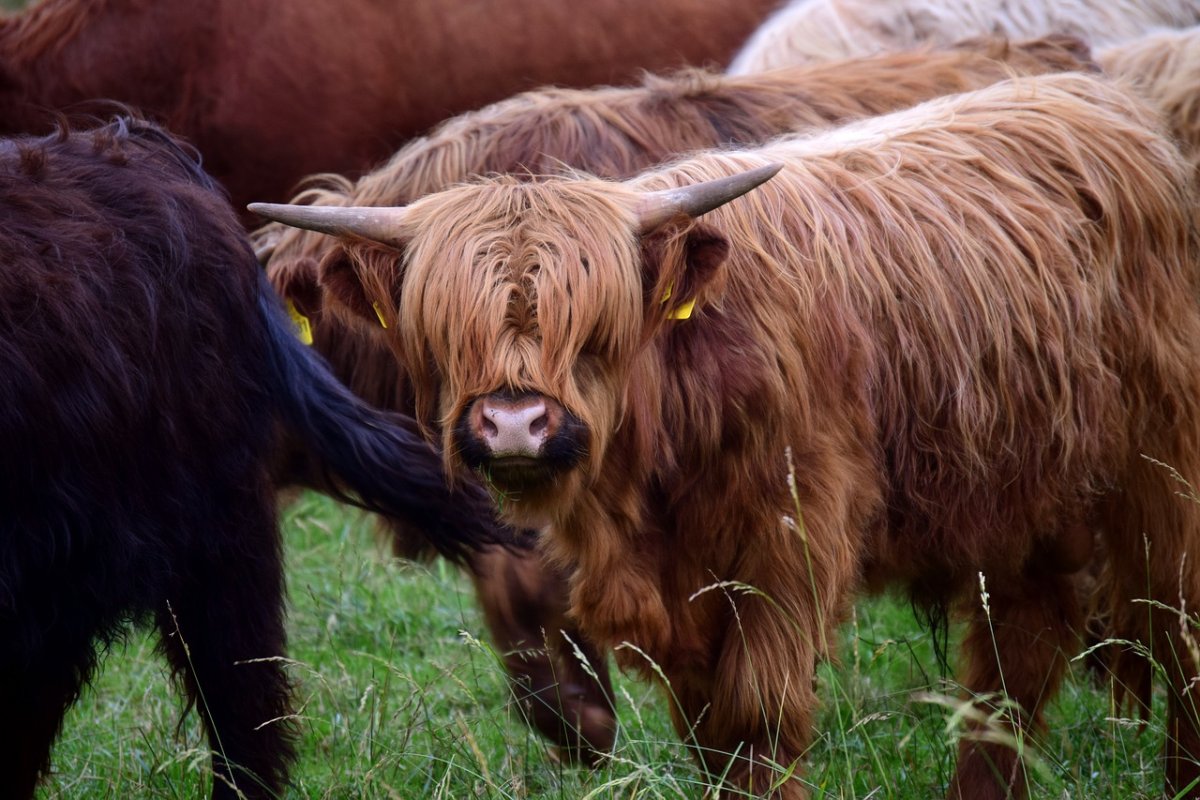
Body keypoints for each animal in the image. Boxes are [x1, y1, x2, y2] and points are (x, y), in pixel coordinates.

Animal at [251, 72, 1200, 799]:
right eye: (444, 328)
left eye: (596, 326)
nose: (515, 423)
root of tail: (1106, 106)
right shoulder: (677, 595)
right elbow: (707, 733)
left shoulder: (786, 547)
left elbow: (755, 721)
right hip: (1024, 498)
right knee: (1013, 666)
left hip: (1163, 480)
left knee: (1177, 632)